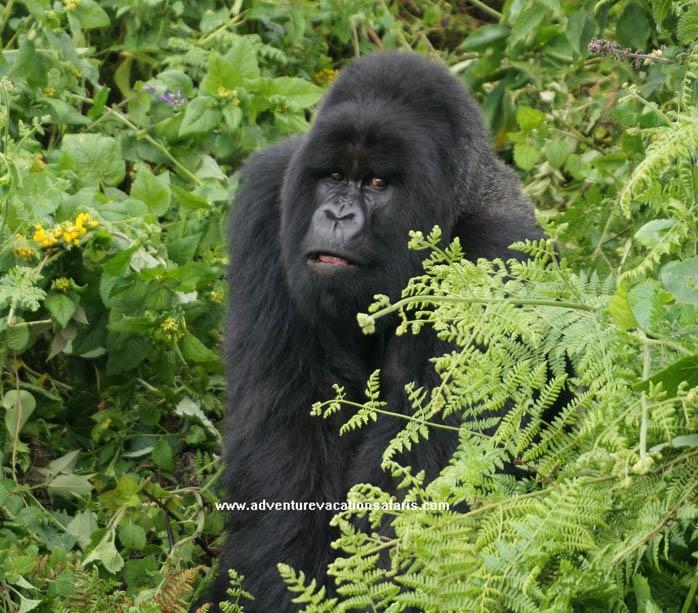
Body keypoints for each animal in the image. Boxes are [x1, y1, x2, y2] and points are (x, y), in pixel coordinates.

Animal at [205, 51, 540, 608]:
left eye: (377, 184)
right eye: (334, 176)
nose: (337, 215)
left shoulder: (495, 254)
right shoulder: (268, 200)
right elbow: (285, 438)